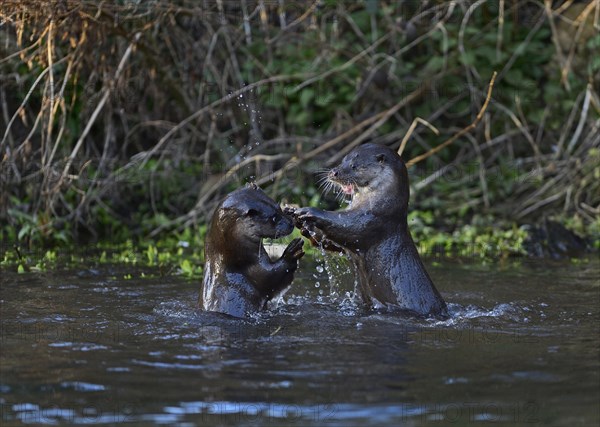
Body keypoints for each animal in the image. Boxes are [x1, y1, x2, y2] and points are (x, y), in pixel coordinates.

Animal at [202, 186, 304, 320]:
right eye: (273, 218)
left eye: (278, 207)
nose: (291, 223)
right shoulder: (250, 268)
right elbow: (270, 278)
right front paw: (292, 252)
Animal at [288, 144, 448, 318]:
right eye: (343, 160)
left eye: (354, 166)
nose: (334, 172)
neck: (382, 204)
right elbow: (332, 243)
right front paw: (303, 225)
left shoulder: (372, 220)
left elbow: (345, 226)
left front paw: (308, 211)